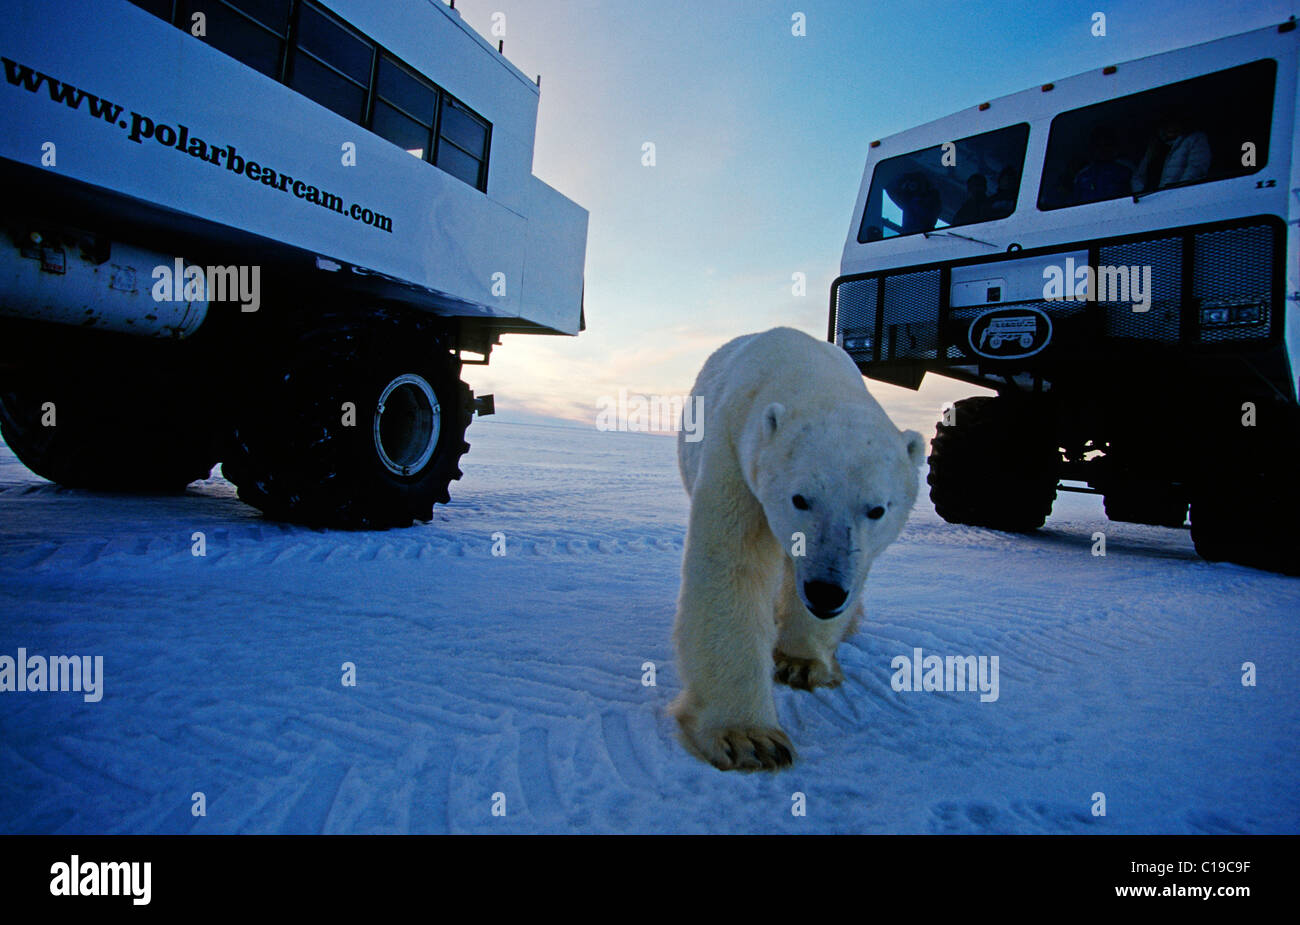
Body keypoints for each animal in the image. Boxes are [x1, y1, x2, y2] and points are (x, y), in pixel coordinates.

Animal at [670, 328, 925, 769]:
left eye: (876, 509)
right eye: (800, 499)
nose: (826, 592)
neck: (807, 370)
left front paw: (801, 663)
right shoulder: (736, 452)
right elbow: (732, 565)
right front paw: (748, 738)